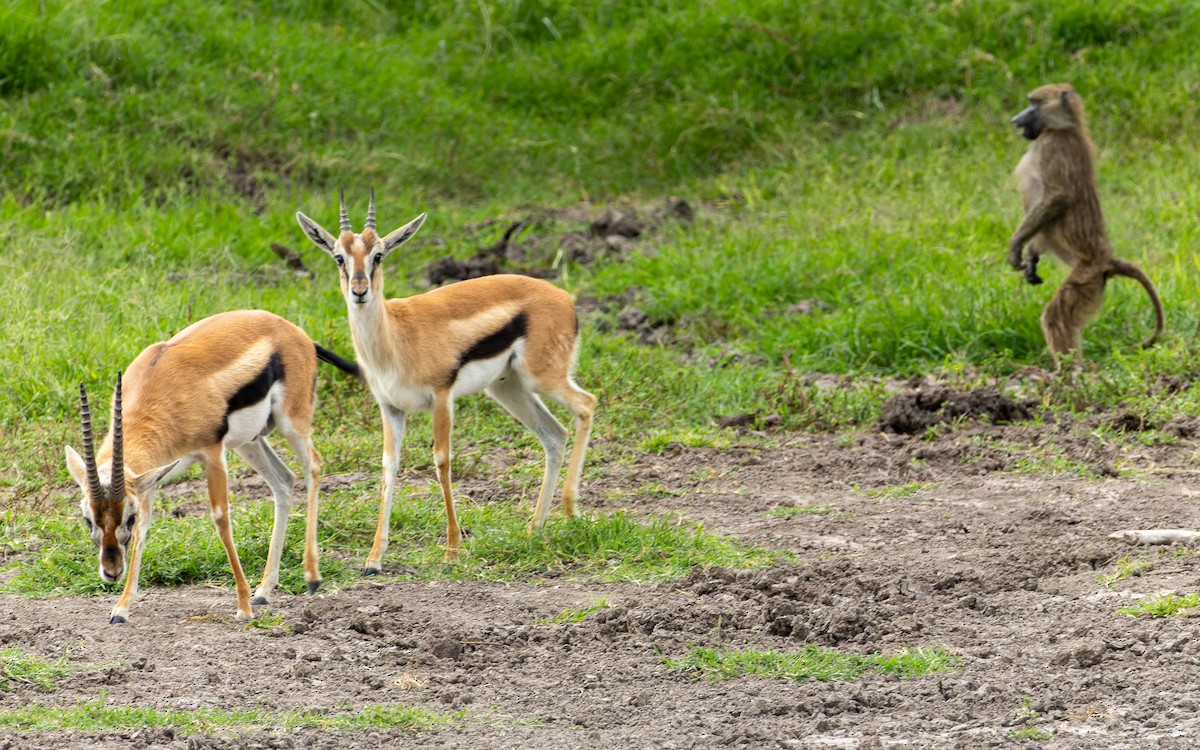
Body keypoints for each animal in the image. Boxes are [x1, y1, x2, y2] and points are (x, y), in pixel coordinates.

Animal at [63, 310, 359, 623]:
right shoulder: (149, 480)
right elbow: (145, 530)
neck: (159, 383)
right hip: (250, 442)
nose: (111, 571)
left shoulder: (212, 453)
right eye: (88, 519)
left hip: (292, 423)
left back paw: (312, 577)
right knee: (284, 481)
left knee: (313, 465)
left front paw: (243, 607)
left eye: (126, 518)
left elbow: (220, 518)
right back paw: (264, 590)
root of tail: (295, 332)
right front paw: (121, 609)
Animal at [296, 191, 596, 570]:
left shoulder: (441, 398)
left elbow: (442, 462)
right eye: (339, 256)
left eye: (378, 254)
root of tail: (565, 299)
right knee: (555, 435)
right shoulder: (390, 407)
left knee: (586, 405)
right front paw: (374, 557)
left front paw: (452, 549)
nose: (359, 290)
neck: (396, 338)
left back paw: (571, 512)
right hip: (507, 388)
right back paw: (534, 529)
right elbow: (389, 466)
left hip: (544, 378)